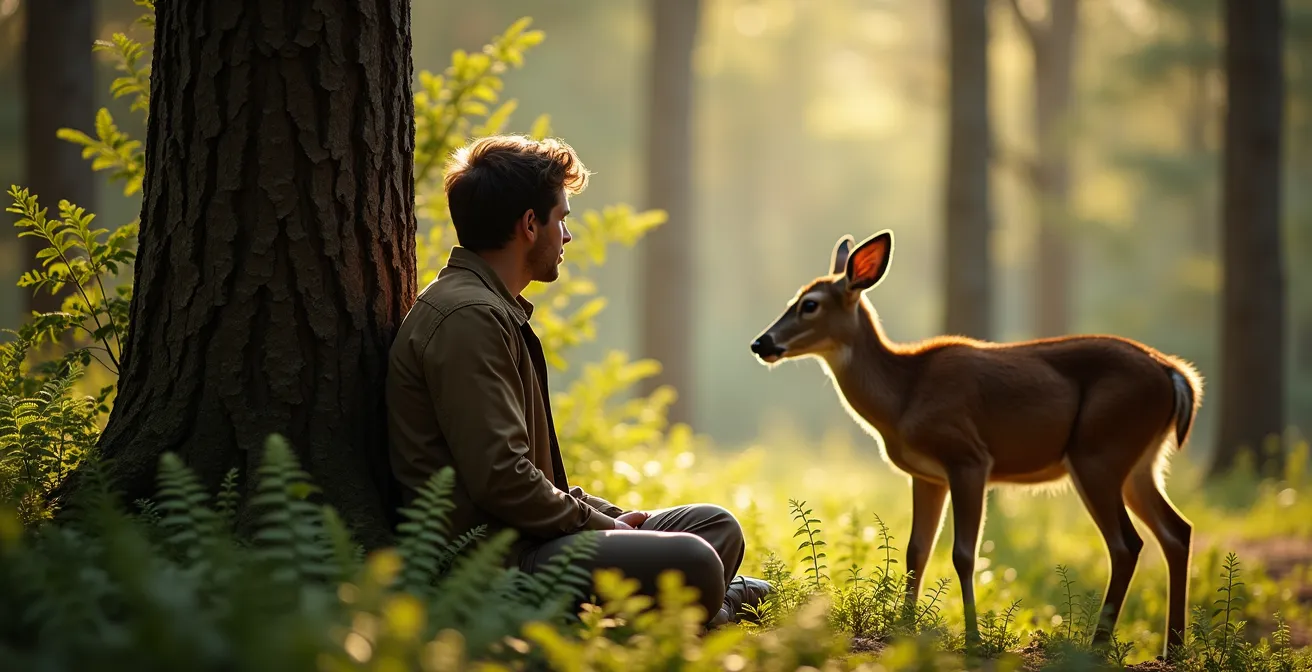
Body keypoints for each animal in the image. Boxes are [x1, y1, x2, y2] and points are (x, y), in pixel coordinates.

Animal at [749, 229, 1202, 657]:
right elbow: (916, 550)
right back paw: (1174, 647)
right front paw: (903, 628)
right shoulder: (927, 475)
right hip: (1140, 462)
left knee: (1127, 544)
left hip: (1098, 451)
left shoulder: (968, 457)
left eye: (810, 304)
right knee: (1177, 530)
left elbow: (964, 554)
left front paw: (972, 638)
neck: (903, 396)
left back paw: (1099, 645)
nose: (761, 343)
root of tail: (1175, 373)